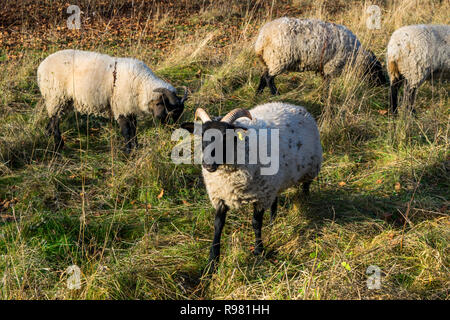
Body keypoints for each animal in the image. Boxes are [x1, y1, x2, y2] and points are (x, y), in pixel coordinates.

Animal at [36, 49, 188, 153]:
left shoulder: (129, 108)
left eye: (179, 113)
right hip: (56, 97)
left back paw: (48, 134)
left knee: (53, 119)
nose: (173, 132)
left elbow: (134, 129)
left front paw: (136, 147)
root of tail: (41, 66)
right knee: (55, 121)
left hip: (63, 100)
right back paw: (58, 145)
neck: (141, 84)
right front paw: (128, 151)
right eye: (166, 108)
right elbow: (127, 131)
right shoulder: (121, 108)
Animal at [181, 101, 322, 268]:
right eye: (202, 136)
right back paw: (272, 223)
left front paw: (258, 250)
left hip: (310, 168)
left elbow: (256, 223)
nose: (208, 165)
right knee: (275, 201)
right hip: (275, 181)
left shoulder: (260, 196)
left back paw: (305, 200)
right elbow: (218, 225)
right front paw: (213, 260)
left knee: (306, 186)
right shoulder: (221, 195)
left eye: (226, 137)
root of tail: (294, 106)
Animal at [253, 17, 386, 94]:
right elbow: (327, 84)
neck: (354, 55)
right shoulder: (331, 66)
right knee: (268, 78)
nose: (384, 84)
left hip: (269, 60)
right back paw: (275, 94)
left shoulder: (324, 67)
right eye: (376, 70)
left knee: (263, 76)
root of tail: (262, 38)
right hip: (279, 59)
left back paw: (258, 93)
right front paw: (326, 96)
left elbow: (324, 81)